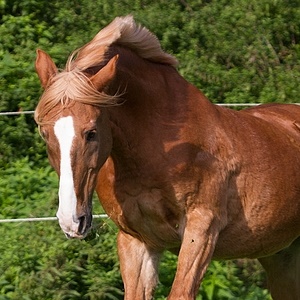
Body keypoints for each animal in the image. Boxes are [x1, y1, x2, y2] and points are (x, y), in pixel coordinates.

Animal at [34, 16, 300, 300]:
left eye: (91, 132)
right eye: (44, 132)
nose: (72, 220)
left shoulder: (201, 230)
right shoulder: (136, 240)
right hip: (282, 257)